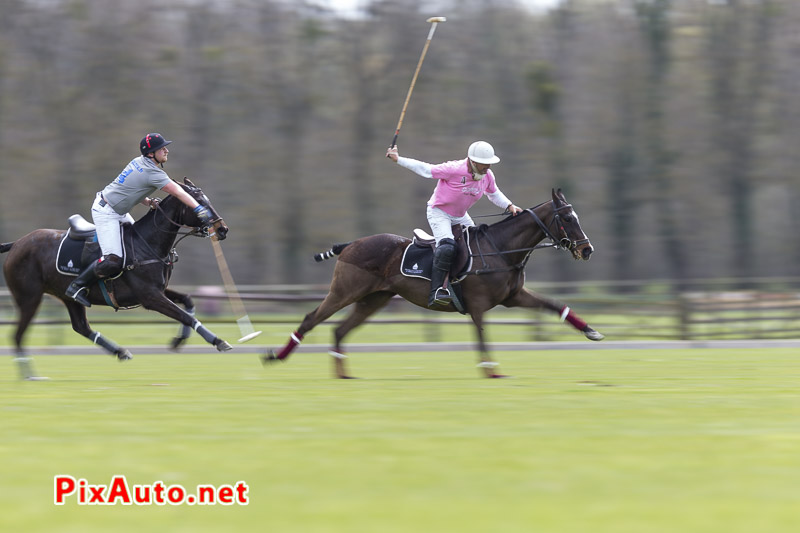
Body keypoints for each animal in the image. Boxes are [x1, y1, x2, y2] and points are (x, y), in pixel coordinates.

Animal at [0, 179, 231, 378]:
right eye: (199, 204)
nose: (222, 229)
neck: (148, 244)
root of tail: (17, 243)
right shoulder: (150, 297)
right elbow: (186, 316)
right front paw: (218, 340)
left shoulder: (159, 290)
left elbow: (189, 302)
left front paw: (178, 340)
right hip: (29, 298)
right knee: (17, 335)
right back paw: (29, 375)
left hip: (66, 297)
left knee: (81, 327)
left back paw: (120, 352)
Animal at [266, 188, 604, 378]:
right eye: (568, 218)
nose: (587, 249)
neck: (500, 248)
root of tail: (350, 244)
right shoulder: (478, 303)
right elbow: (482, 334)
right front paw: (491, 371)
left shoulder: (514, 296)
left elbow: (555, 305)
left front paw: (592, 331)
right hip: (345, 291)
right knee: (311, 318)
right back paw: (276, 357)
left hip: (373, 299)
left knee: (339, 329)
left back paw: (342, 374)